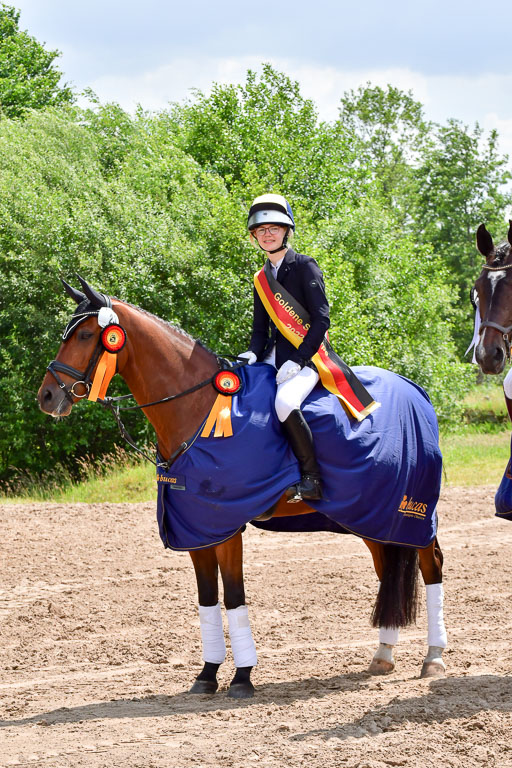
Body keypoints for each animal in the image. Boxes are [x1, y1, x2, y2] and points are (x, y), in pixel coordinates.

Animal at [37, 276, 447, 698]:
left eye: (86, 334)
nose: (47, 397)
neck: (199, 406)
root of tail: (416, 390)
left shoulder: (227, 526)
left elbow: (234, 597)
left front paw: (243, 676)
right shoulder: (197, 528)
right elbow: (207, 599)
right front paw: (206, 674)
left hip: (410, 513)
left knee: (431, 565)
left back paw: (433, 657)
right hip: (370, 516)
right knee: (386, 570)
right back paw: (383, 654)